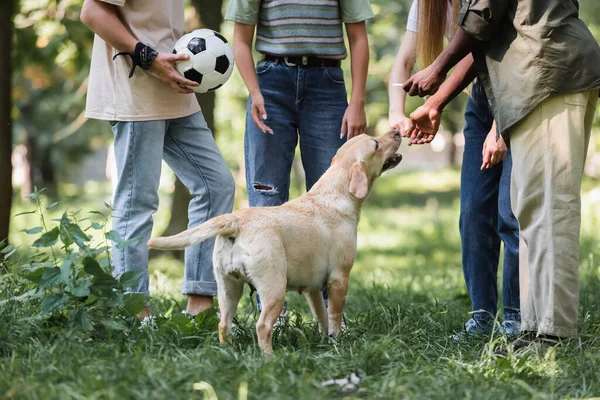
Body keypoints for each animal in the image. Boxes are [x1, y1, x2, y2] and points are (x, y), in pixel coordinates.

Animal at [147, 130, 400, 354]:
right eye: (376, 144)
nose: (397, 131)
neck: (333, 194)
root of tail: (236, 220)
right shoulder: (339, 278)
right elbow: (334, 317)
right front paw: (336, 342)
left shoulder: (313, 288)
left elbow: (321, 317)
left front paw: (324, 341)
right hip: (274, 288)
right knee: (262, 326)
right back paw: (270, 358)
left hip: (228, 289)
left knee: (223, 324)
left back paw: (228, 352)